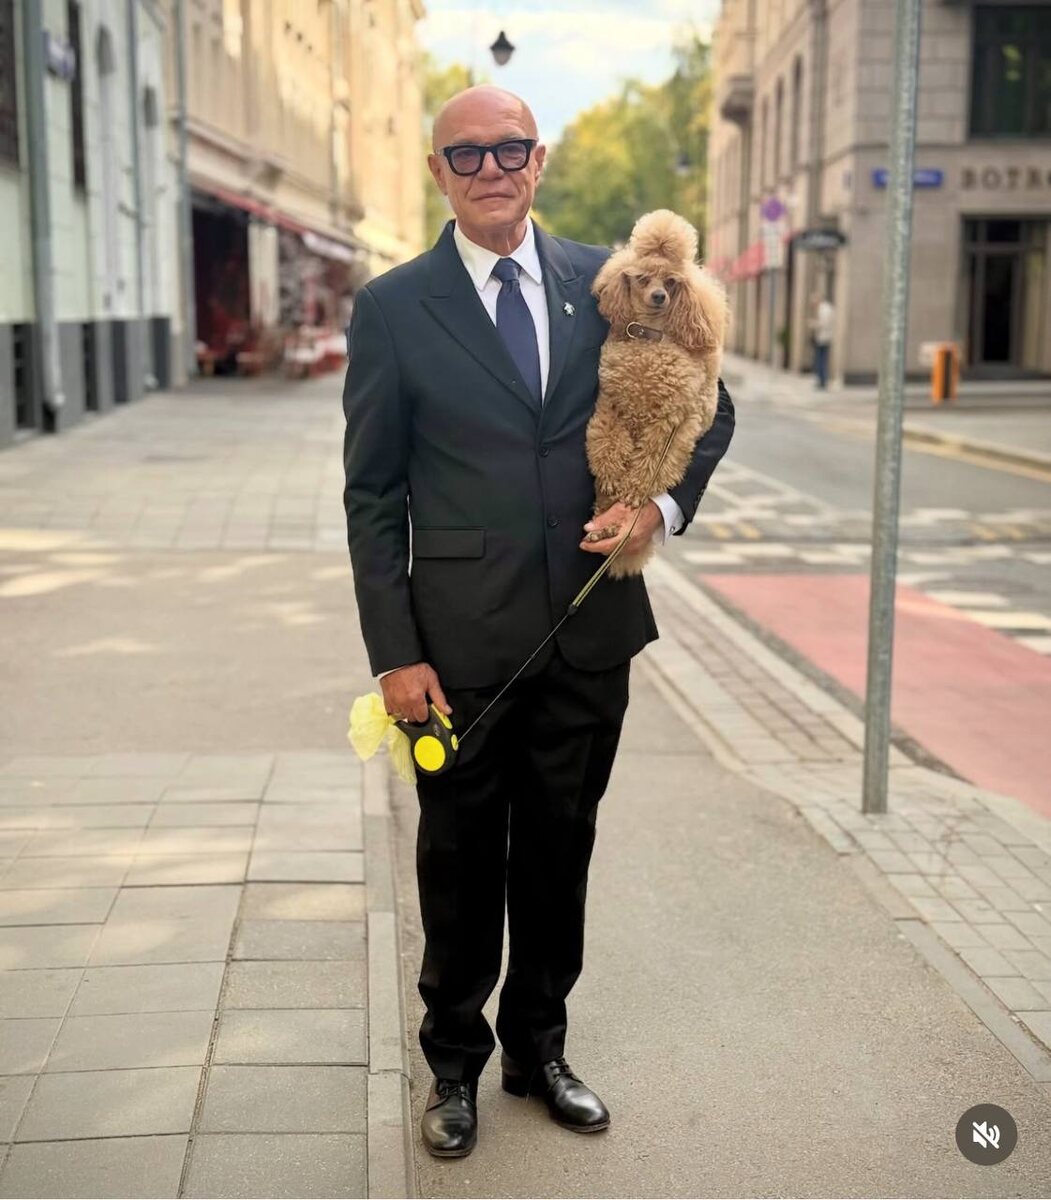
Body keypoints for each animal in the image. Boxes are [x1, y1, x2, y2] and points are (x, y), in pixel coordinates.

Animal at [584, 209, 728, 578]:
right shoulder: (612, 402)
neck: (649, 339)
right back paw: (602, 529)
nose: (660, 296)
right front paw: (610, 473)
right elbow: (607, 439)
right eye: (643, 278)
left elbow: (648, 465)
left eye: (672, 282)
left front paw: (633, 492)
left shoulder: (669, 422)